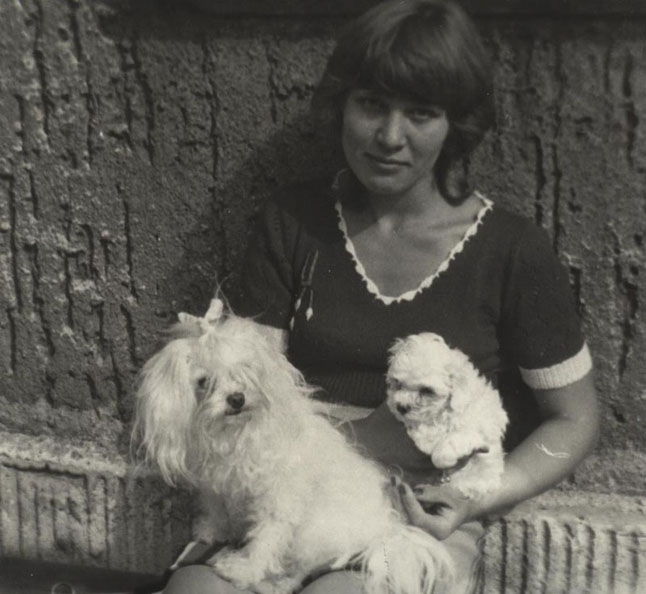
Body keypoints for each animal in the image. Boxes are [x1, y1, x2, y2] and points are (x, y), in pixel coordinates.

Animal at [133, 299, 453, 594]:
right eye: (203, 381)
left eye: (245, 370)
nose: (236, 398)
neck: (237, 433)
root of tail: (384, 531)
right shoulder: (217, 486)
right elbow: (216, 509)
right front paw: (213, 530)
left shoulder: (278, 499)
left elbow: (266, 538)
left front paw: (243, 570)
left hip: (315, 532)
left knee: (305, 566)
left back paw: (279, 582)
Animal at [386, 333, 508, 499]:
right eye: (397, 383)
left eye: (427, 390)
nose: (401, 407)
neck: (443, 411)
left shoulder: (480, 427)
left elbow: (456, 438)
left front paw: (442, 457)